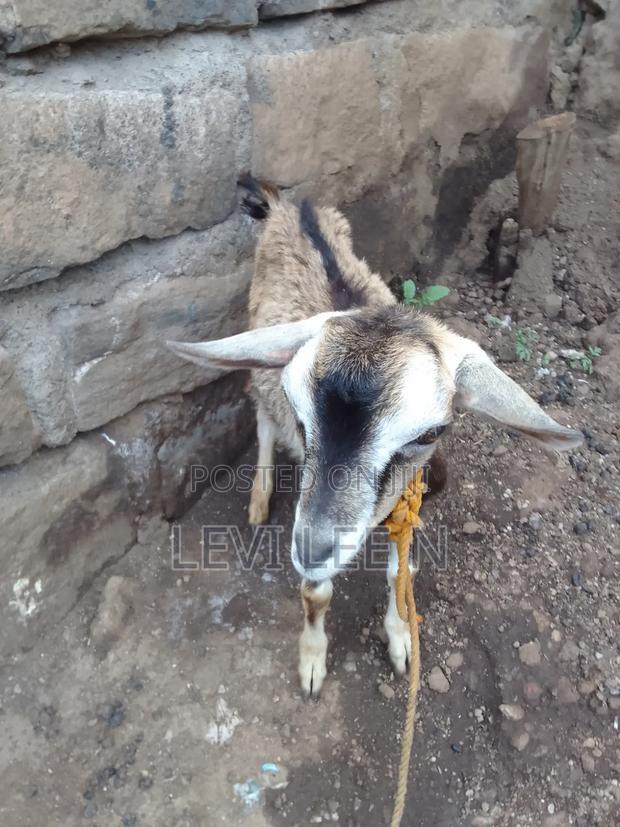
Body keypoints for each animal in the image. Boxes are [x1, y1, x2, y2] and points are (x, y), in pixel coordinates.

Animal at [168, 176, 582, 698]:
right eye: (302, 418)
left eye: (431, 433)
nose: (313, 548)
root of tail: (289, 207)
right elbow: (315, 594)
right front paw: (312, 663)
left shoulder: (410, 500)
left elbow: (400, 571)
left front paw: (401, 638)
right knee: (260, 413)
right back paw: (260, 497)